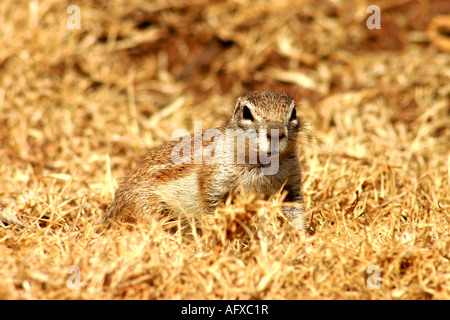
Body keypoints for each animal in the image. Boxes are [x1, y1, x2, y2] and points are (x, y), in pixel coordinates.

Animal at [101, 90, 306, 230]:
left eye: (294, 112)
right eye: (247, 113)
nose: (276, 133)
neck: (263, 164)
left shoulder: (292, 184)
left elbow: (296, 212)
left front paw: (301, 241)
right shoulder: (214, 181)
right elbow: (211, 209)